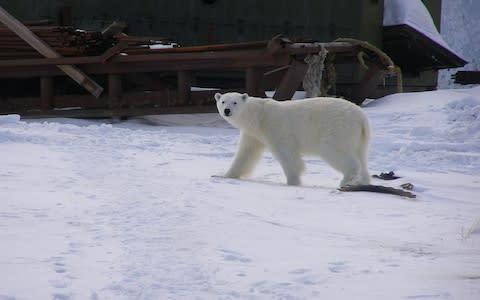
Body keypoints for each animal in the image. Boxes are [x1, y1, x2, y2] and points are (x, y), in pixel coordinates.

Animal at [217, 92, 372, 188]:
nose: (227, 110)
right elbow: (246, 154)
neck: (258, 116)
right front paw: (225, 175)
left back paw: (346, 181)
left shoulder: (275, 126)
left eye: (235, 102)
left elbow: (286, 153)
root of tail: (361, 117)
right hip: (359, 137)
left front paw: (292, 181)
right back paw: (362, 182)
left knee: (334, 150)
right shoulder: (253, 134)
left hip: (337, 128)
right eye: (223, 101)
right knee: (361, 155)